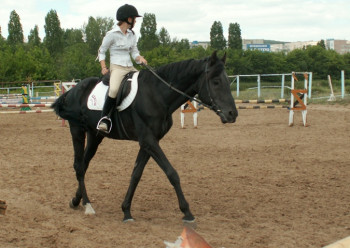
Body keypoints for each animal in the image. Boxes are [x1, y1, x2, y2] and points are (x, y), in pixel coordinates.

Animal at [51, 51, 238, 222]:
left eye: (227, 81)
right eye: (216, 82)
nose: (232, 114)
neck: (158, 95)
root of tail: (73, 90)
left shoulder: (149, 142)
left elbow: (136, 174)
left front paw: (126, 210)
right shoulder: (149, 140)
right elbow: (172, 173)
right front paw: (187, 212)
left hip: (95, 136)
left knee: (84, 165)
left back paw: (77, 201)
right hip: (77, 130)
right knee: (78, 166)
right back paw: (88, 205)